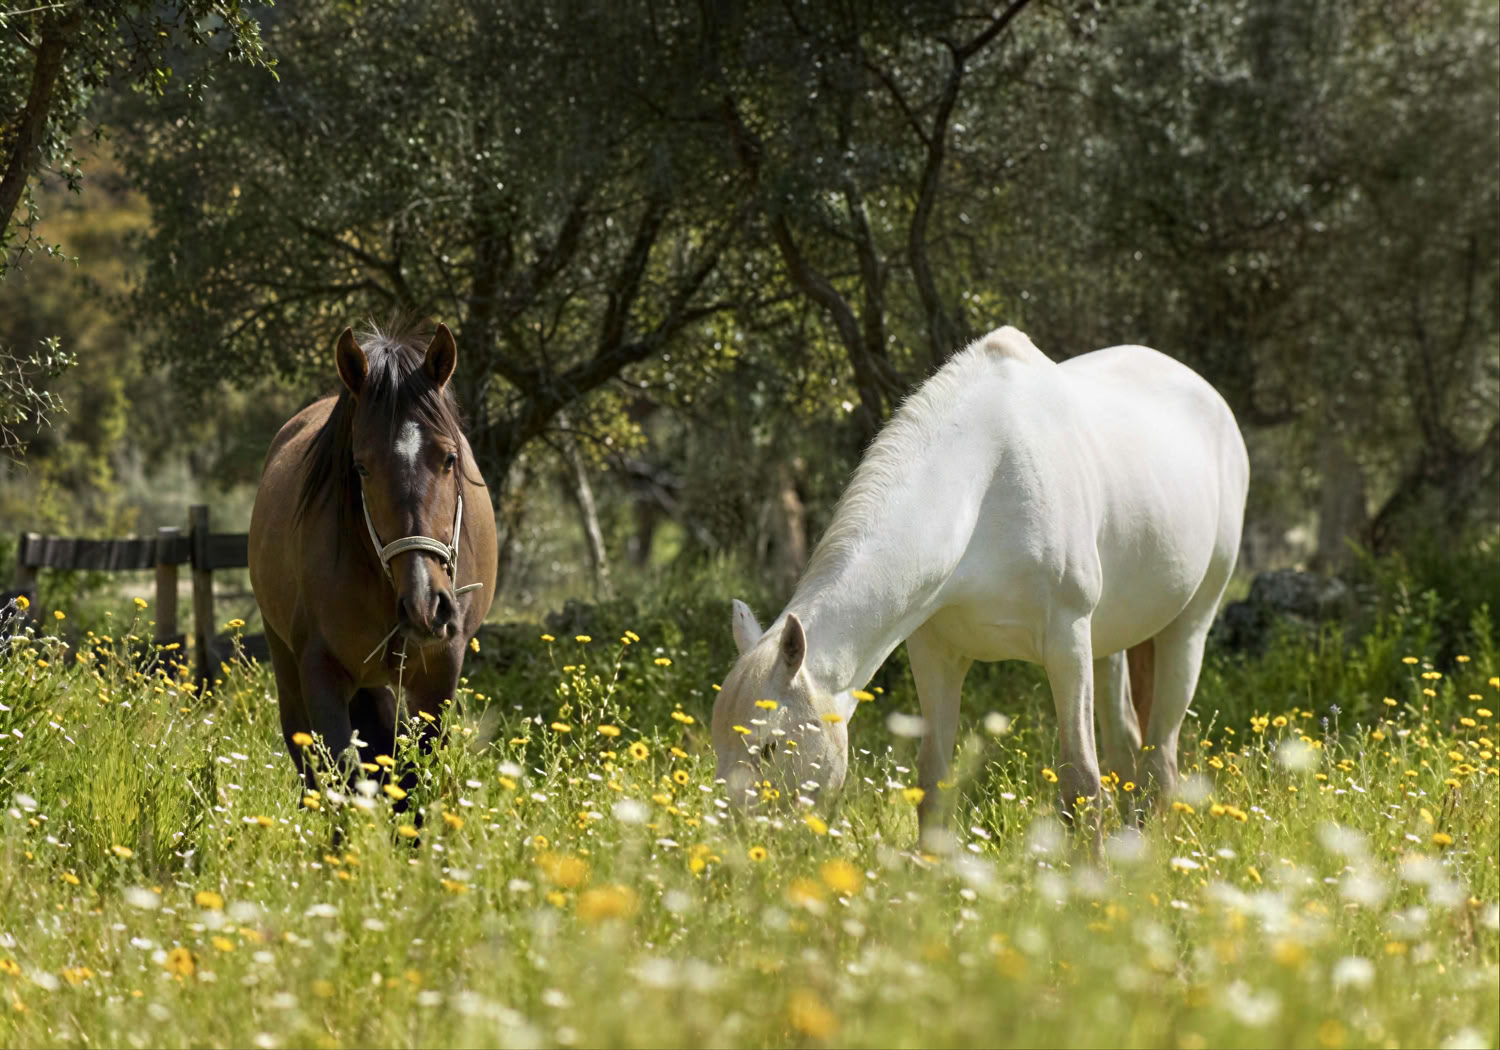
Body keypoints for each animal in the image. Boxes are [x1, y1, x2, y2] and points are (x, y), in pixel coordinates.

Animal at [248, 324, 497, 796]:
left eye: (449, 458)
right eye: (361, 467)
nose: (424, 606)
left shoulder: (438, 672)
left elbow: (416, 777)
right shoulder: (319, 670)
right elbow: (342, 774)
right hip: (286, 663)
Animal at [711, 326, 1248, 840]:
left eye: (769, 747)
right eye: (718, 742)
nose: (734, 842)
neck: (984, 490)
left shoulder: (1067, 641)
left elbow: (1081, 781)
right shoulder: (934, 652)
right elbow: (932, 783)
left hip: (1188, 628)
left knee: (1160, 759)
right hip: (1109, 642)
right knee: (1127, 747)